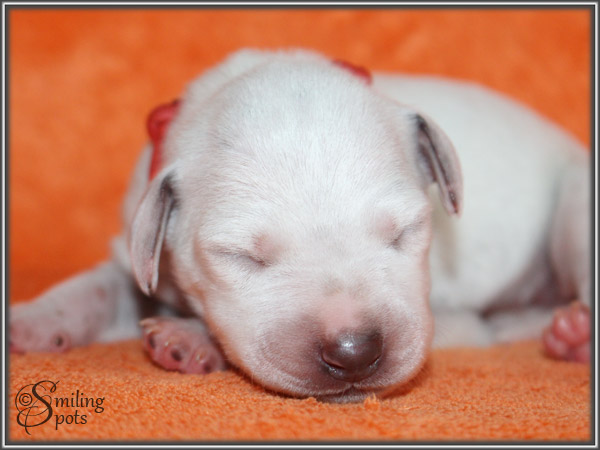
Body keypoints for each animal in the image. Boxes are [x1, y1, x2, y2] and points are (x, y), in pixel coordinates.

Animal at [10, 48, 591, 403]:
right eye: (242, 256)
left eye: (405, 230)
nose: (355, 353)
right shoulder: (135, 254)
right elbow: (94, 288)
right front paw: (33, 321)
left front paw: (189, 336)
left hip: (574, 203)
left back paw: (577, 337)